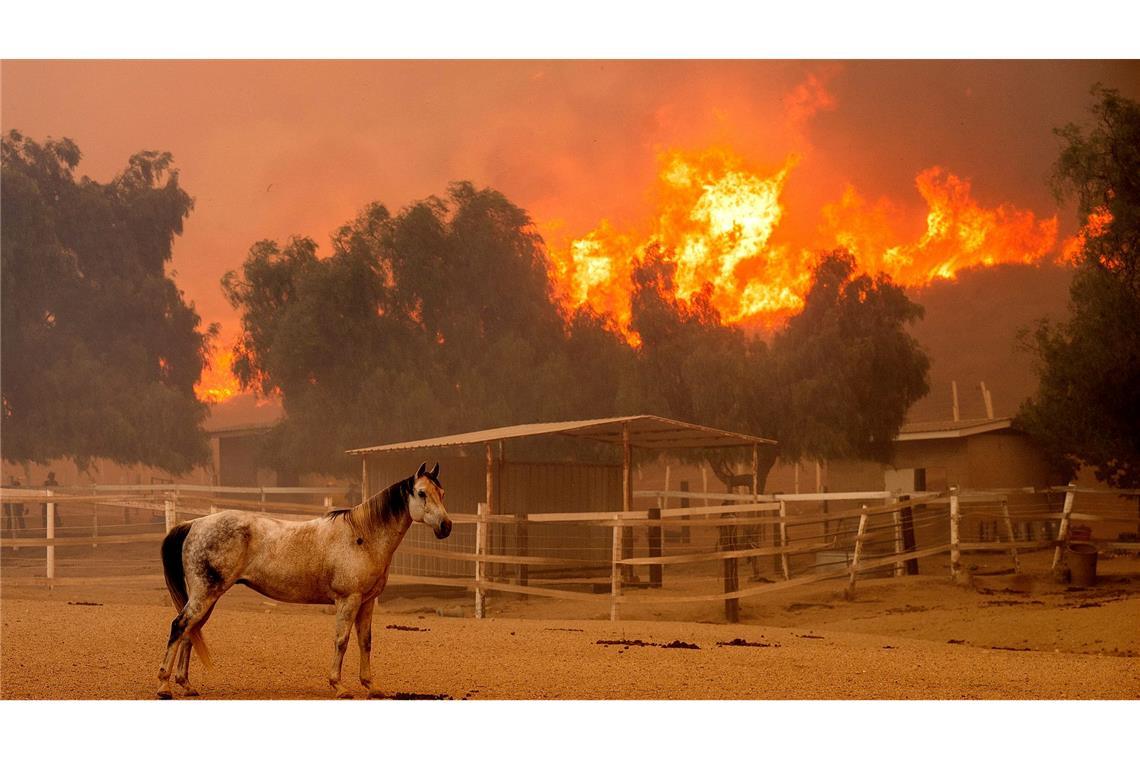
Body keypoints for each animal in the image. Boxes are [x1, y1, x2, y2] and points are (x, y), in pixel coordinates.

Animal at [156, 460, 449, 697]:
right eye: (421, 493)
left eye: (442, 493)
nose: (446, 526)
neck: (362, 536)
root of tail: (195, 523)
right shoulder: (348, 600)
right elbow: (341, 641)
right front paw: (339, 686)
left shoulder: (366, 603)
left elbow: (365, 642)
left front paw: (371, 686)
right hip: (205, 595)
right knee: (179, 626)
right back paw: (164, 686)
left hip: (207, 597)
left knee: (190, 631)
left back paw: (186, 685)